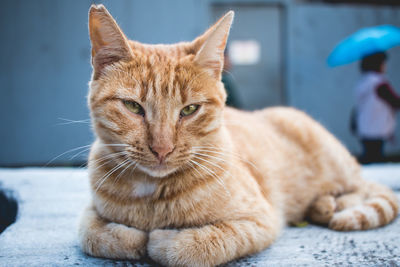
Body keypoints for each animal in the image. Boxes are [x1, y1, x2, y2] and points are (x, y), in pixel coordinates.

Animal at [79, 4, 398, 267]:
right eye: (133, 106)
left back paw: (334, 205)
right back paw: (322, 206)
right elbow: (94, 235)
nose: (162, 149)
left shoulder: (260, 219)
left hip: (337, 167)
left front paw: (162, 240)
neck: (151, 195)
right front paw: (131, 237)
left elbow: (195, 247)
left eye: (189, 110)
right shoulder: (90, 212)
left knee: (365, 188)